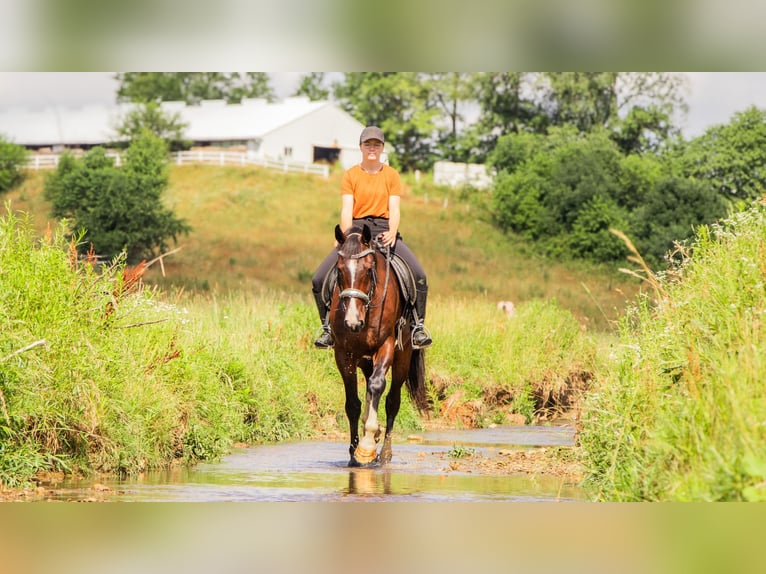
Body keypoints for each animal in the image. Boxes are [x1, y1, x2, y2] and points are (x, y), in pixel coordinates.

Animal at [328, 224, 428, 468]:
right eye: (340, 270)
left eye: (368, 270)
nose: (352, 321)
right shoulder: (344, 353)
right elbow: (352, 404)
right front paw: (354, 453)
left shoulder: (386, 346)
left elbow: (377, 386)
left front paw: (366, 447)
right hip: (365, 360)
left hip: (403, 356)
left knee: (392, 400)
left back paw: (384, 454)